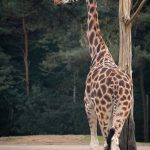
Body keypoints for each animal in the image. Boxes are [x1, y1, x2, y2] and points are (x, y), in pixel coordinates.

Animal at [53, 0, 132, 149]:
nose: (55, 1)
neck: (98, 53)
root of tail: (117, 88)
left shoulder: (88, 103)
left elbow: (94, 143)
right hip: (123, 108)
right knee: (115, 140)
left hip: (103, 109)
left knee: (109, 141)